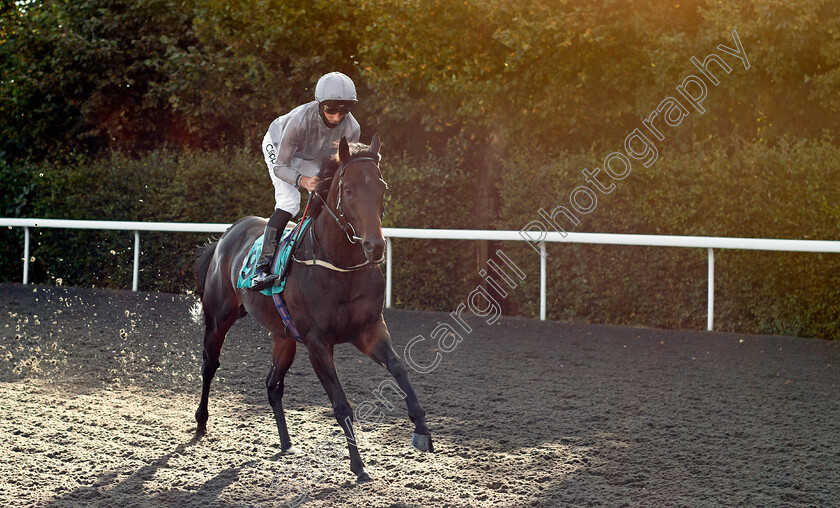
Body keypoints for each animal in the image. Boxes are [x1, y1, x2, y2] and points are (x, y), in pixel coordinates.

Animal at [192, 134, 434, 480]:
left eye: (382, 187)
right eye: (349, 190)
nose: (374, 246)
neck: (340, 267)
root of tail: (226, 235)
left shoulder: (369, 329)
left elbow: (400, 368)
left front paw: (422, 429)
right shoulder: (318, 343)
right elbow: (341, 403)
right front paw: (358, 465)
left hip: (284, 337)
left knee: (273, 385)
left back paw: (286, 442)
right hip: (218, 319)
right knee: (210, 365)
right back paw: (200, 423)